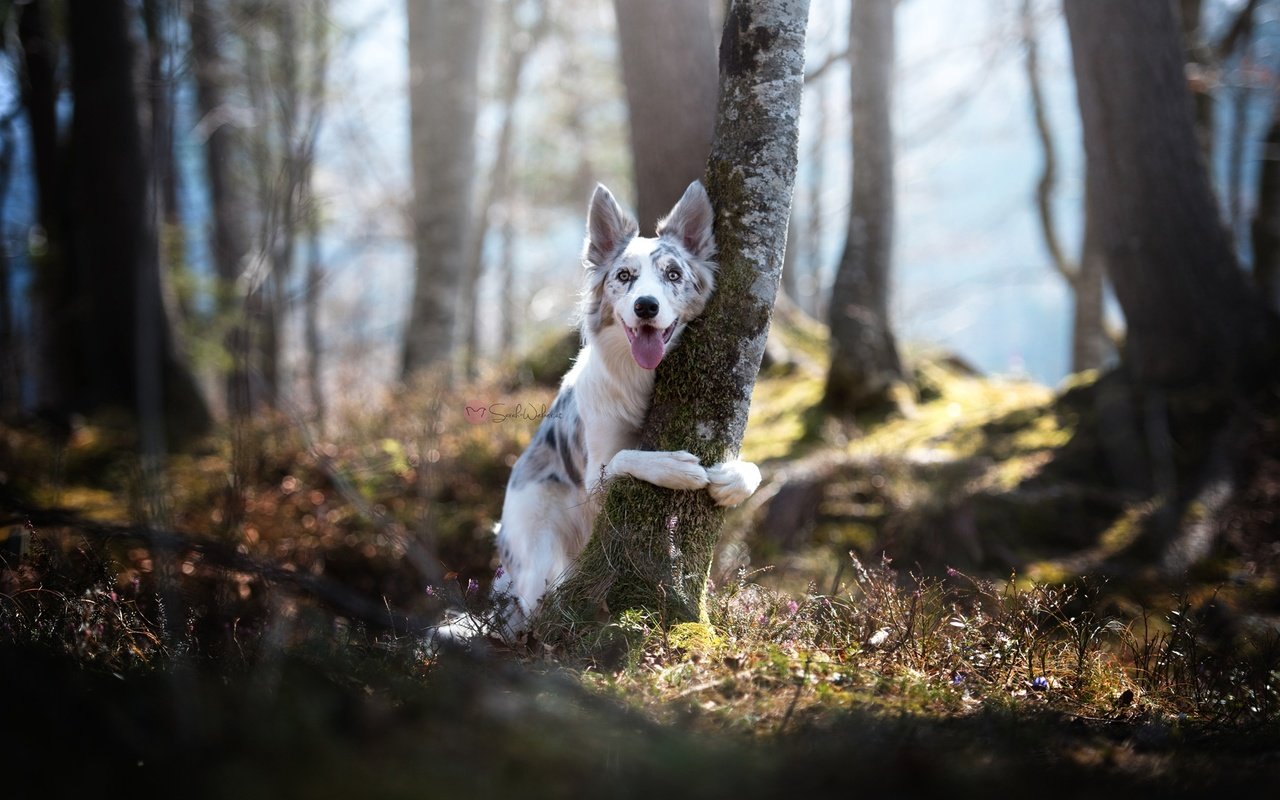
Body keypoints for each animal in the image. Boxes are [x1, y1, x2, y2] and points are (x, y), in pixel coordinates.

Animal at [440, 183, 757, 642]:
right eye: (624, 276)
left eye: (673, 275)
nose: (646, 306)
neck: (640, 378)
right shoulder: (593, 474)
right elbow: (625, 457)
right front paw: (674, 468)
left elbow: (753, 470)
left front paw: (734, 479)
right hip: (539, 542)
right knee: (539, 610)